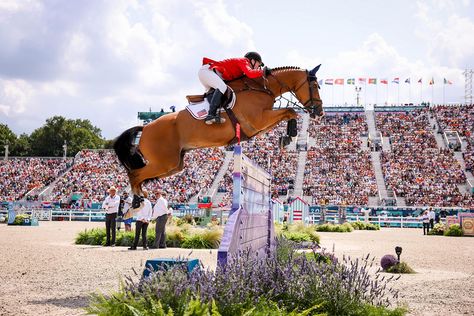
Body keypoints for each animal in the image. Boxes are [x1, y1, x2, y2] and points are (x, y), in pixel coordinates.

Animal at [113, 65, 324, 196]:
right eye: (315, 85)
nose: (320, 112)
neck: (262, 88)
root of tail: (145, 127)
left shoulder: (259, 125)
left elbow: (288, 113)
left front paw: (287, 137)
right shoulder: (258, 121)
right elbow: (290, 111)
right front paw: (290, 136)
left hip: (174, 165)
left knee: (140, 176)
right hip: (164, 162)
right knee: (135, 175)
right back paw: (137, 202)